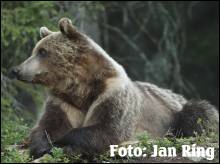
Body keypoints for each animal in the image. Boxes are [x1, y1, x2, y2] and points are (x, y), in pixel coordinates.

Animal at [10, 17, 220, 158]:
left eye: (42, 52)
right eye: (35, 50)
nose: (16, 70)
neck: (81, 88)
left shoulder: (112, 95)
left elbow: (107, 129)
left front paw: (64, 142)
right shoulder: (64, 102)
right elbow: (47, 125)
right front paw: (42, 145)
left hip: (175, 111)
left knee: (199, 112)